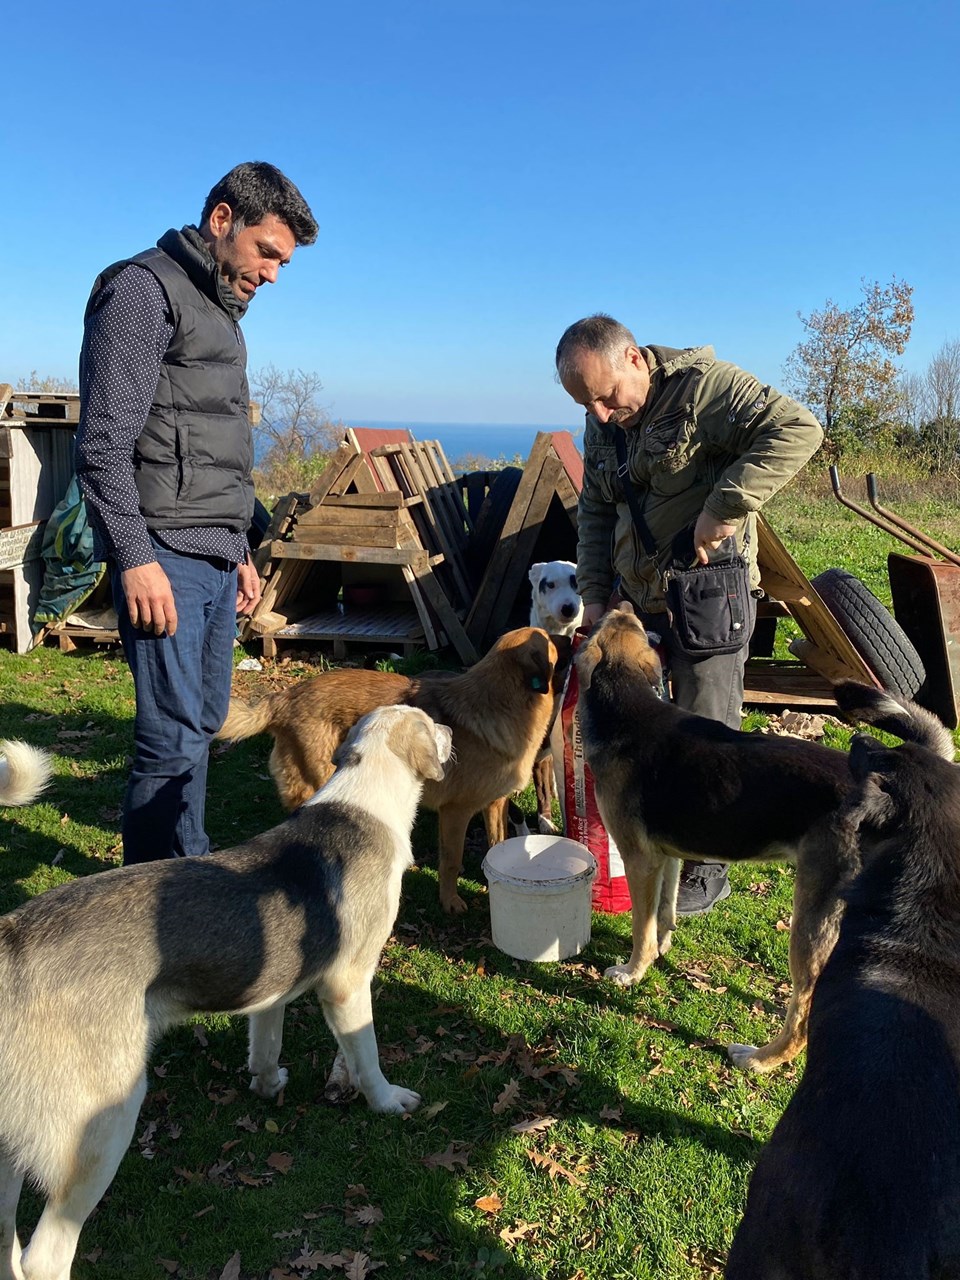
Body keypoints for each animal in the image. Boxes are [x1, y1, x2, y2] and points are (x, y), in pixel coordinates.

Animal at [221, 627, 568, 911]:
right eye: (549, 640)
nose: (574, 633)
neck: (500, 701)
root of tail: (284, 696)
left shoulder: (494, 804)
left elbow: (498, 844)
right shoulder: (455, 812)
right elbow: (451, 861)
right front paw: (450, 901)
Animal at [576, 604, 957, 1075]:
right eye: (623, 622)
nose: (626, 604)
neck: (627, 702)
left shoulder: (638, 859)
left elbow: (641, 929)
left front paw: (632, 972)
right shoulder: (665, 856)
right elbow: (663, 915)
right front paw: (662, 951)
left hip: (810, 923)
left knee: (804, 1015)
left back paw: (758, 1059)